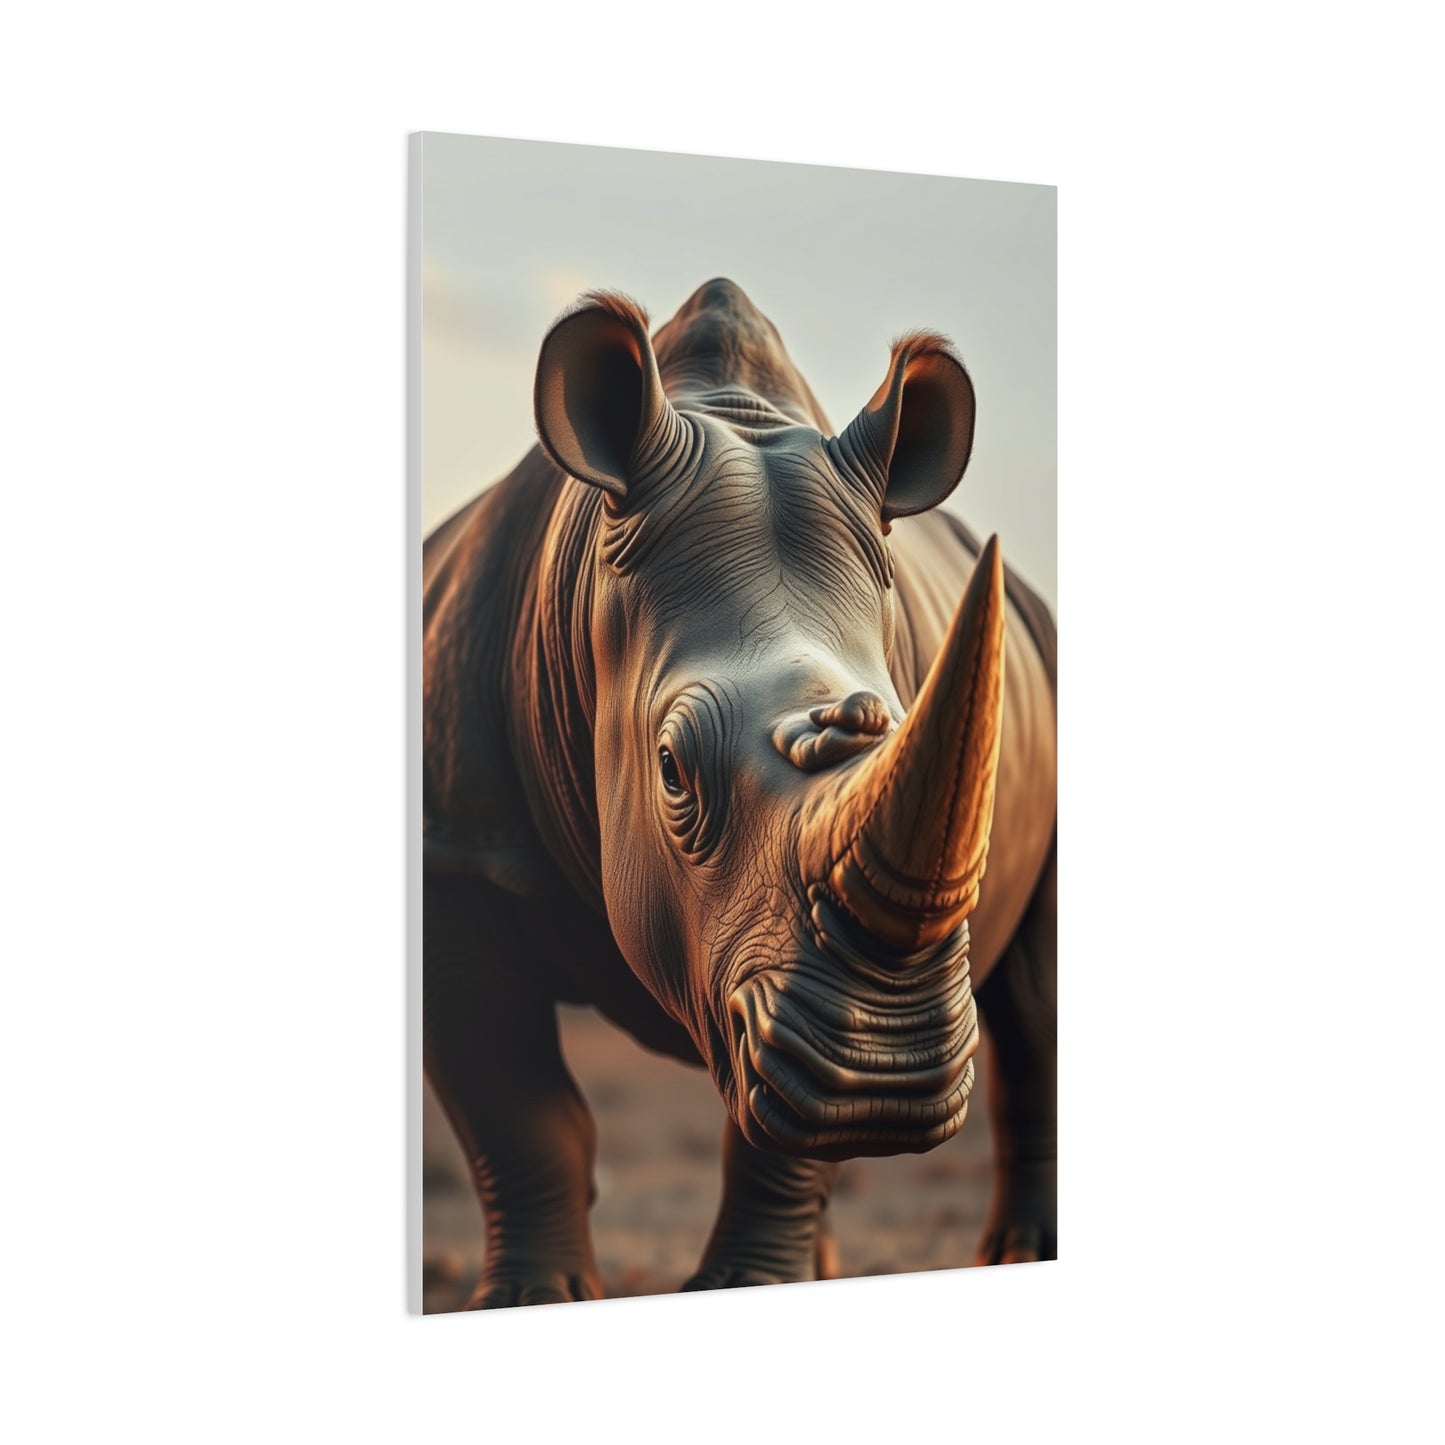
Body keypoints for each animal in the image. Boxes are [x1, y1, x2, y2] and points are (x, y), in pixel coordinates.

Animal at [423, 278, 1057, 1307]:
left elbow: (780, 1141)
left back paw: (1013, 1255)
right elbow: (514, 1105)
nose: (885, 1078)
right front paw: (526, 1298)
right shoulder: (456, 849)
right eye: (672, 770)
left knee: (1033, 1005)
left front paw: (741, 1284)